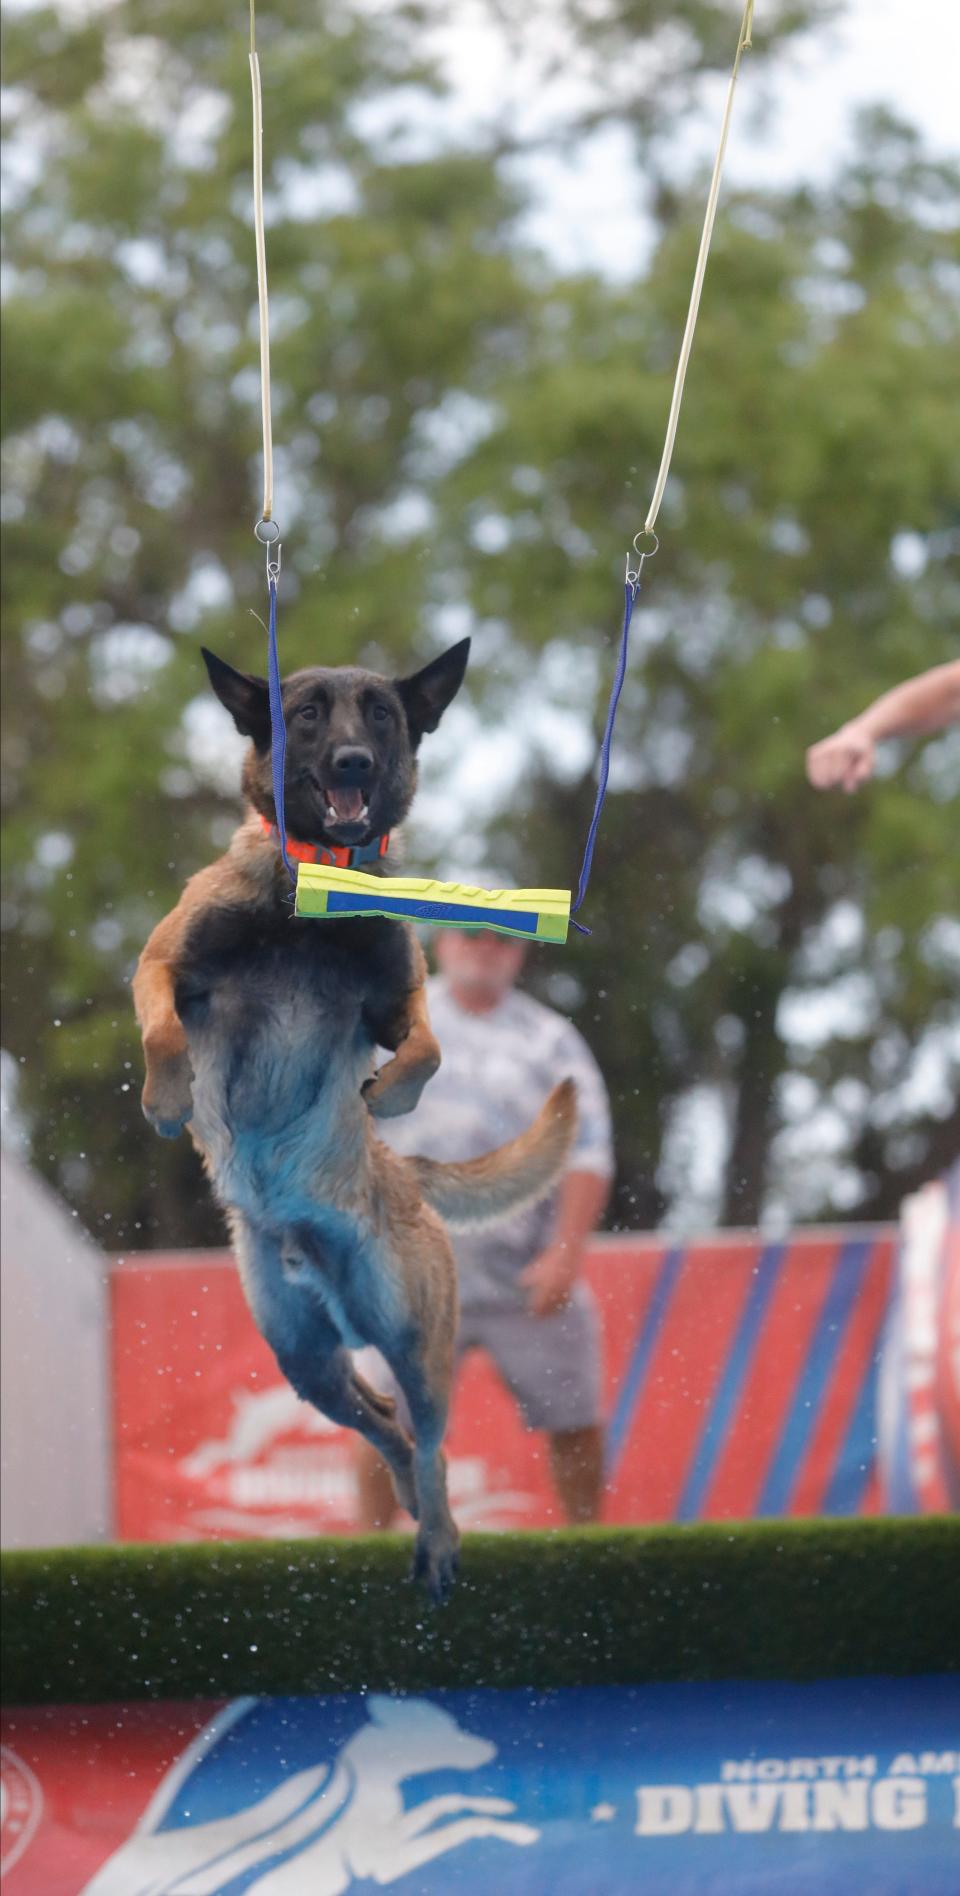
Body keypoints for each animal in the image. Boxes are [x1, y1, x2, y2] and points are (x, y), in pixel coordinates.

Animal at [130, 640, 572, 1600]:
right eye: (306, 715)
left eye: (380, 714)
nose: (353, 765)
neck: (314, 888)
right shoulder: (166, 963)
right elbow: (162, 1029)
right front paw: (168, 1096)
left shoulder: (399, 1001)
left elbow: (429, 1052)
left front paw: (388, 1095)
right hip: (303, 1355)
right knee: (380, 1421)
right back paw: (403, 1487)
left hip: (411, 1335)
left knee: (430, 1438)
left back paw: (437, 1536)